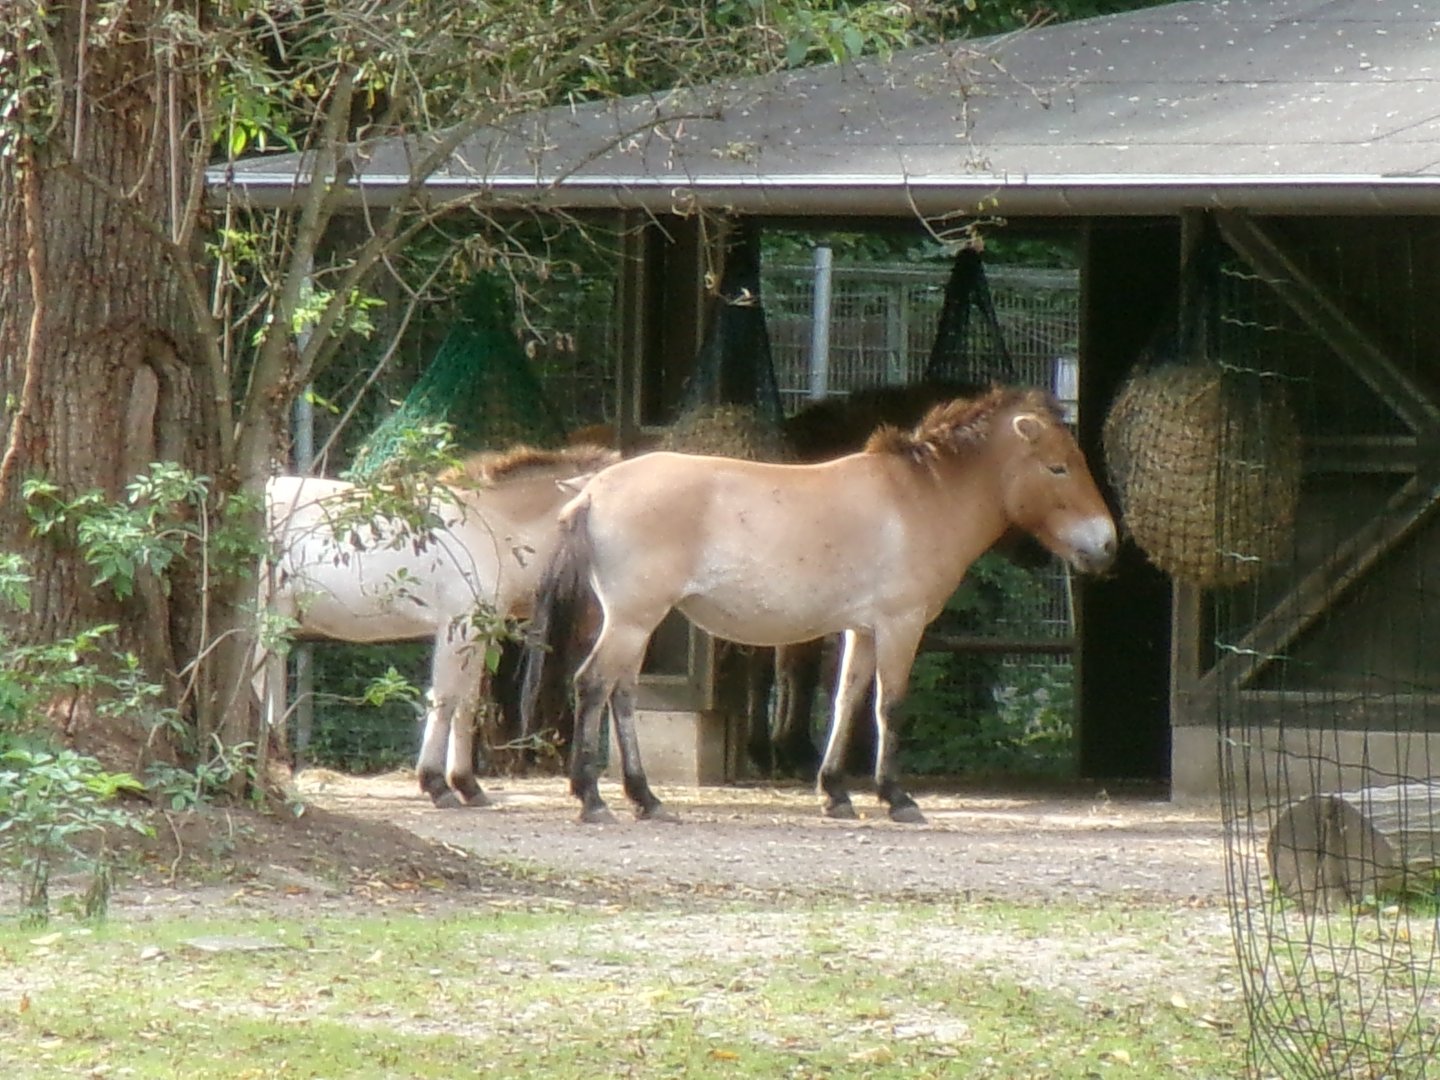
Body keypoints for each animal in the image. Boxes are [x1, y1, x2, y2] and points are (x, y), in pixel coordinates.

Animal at [256, 443, 620, 808]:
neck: (491, 528)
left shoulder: (481, 634)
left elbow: (468, 703)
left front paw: (467, 784)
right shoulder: (457, 629)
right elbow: (445, 699)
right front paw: (435, 783)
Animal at [525, 386, 1118, 824]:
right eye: (1059, 467)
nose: (1107, 544)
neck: (920, 498)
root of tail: (592, 491)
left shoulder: (863, 630)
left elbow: (847, 700)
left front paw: (835, 791)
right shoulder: (900, 626)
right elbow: (889, 704)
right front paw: (896, 797)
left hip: (633, 622)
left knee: (620, 694)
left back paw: (645, 798)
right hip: (633, 619)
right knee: (594, 685)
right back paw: (592, 798)